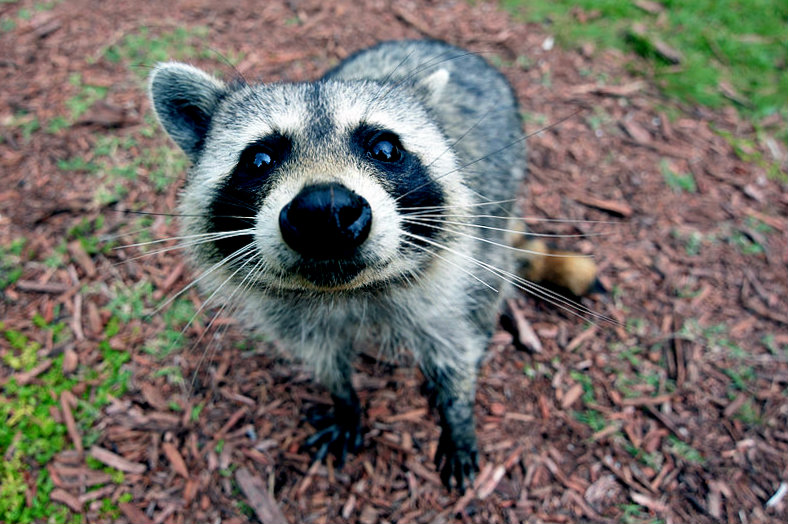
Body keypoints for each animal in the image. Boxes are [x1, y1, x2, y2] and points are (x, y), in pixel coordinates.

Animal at [149, 40, 563, 492]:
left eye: (385, 149)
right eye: (258, 160)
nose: (325, 210)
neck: (345, 291)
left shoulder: (449, 278)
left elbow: (454, 342)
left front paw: (457, 412)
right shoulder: (291, 317)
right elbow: (323, 357)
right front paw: (344, 400)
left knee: (487, 286)